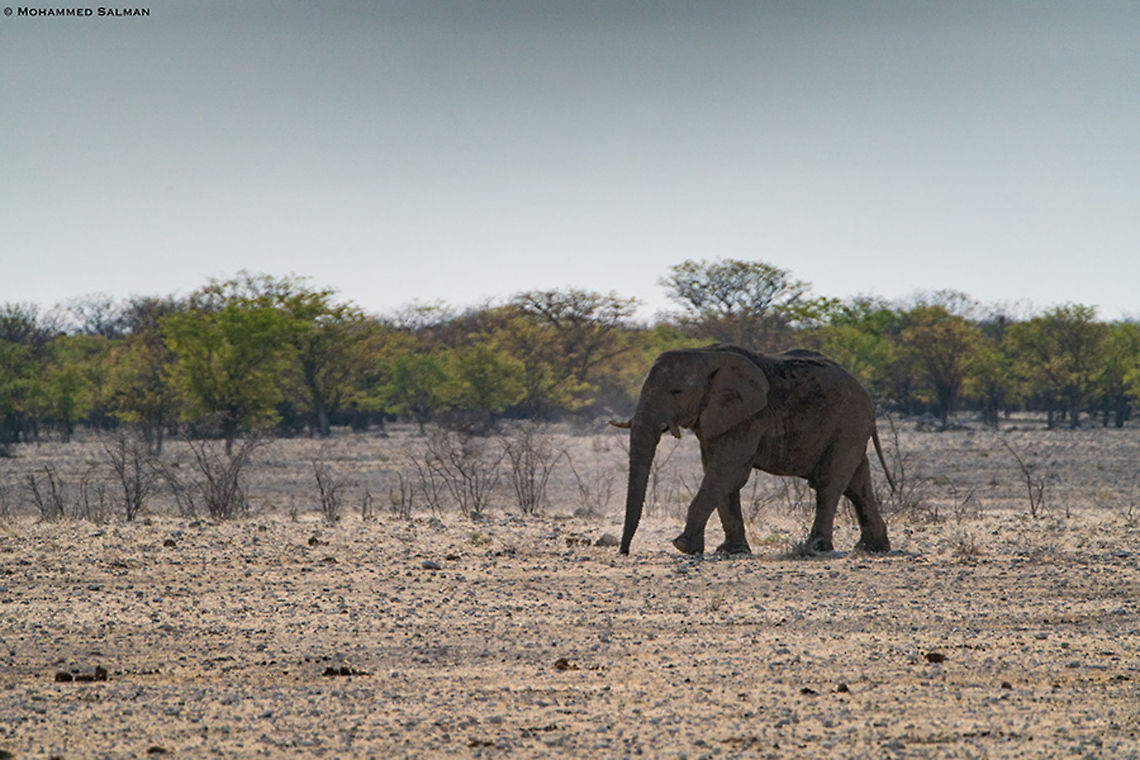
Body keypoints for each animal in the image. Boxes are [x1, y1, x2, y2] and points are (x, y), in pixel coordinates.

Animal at [611, 344, 893, 556]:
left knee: (829, 483)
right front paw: (731, 551)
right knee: (856, 483)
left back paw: (816, 548)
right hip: (850, 429)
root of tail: (865, 394)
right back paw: (873, 548)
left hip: (849, 423)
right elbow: (721, 475)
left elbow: (727, 471)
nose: (624, 551)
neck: (705, 355)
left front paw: (683, 546)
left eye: (676, 392)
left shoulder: (748, 417)